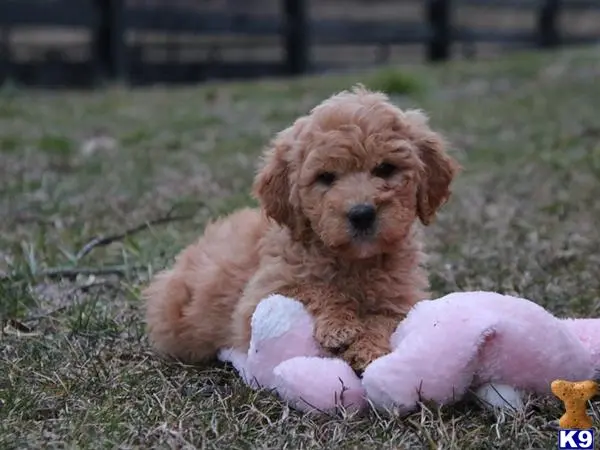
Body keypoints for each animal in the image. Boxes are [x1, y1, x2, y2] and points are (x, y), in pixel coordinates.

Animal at [144, 85, 460, 372]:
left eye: (385, 169)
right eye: (326, 177)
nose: (361, 214)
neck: (355, 263)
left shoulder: (403, 298)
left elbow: (387, 318)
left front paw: (368, 347)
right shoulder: (257, 299)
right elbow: (312, 286)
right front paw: (339, 326)